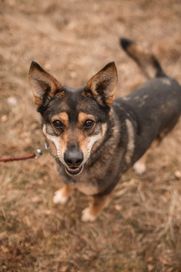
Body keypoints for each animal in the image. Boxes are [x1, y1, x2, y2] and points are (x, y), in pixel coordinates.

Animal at [28, 37, 181, 221]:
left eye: (89, 123)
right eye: (57, 123)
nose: (73, 160)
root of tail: (167, 78)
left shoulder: (105, 191)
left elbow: (97, 203)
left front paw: (90, 215)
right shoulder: (68, 175)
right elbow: (68, 184)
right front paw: (64, 195)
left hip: (161, 135)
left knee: (150, 147)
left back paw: (140, 163)